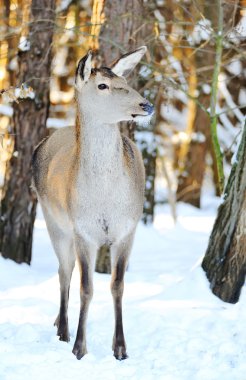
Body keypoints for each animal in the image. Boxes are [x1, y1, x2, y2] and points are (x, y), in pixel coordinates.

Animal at [31, 46, 154, 360]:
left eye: (125, 79)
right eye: (102, 85)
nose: (146, 105)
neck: (105, 200)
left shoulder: (127, 229)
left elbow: (117, 285)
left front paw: (120, 348)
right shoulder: (82, 231)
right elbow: (86, 288)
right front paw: (79, 347)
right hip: (53, 221)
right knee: (64, 272)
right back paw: (62, 329)